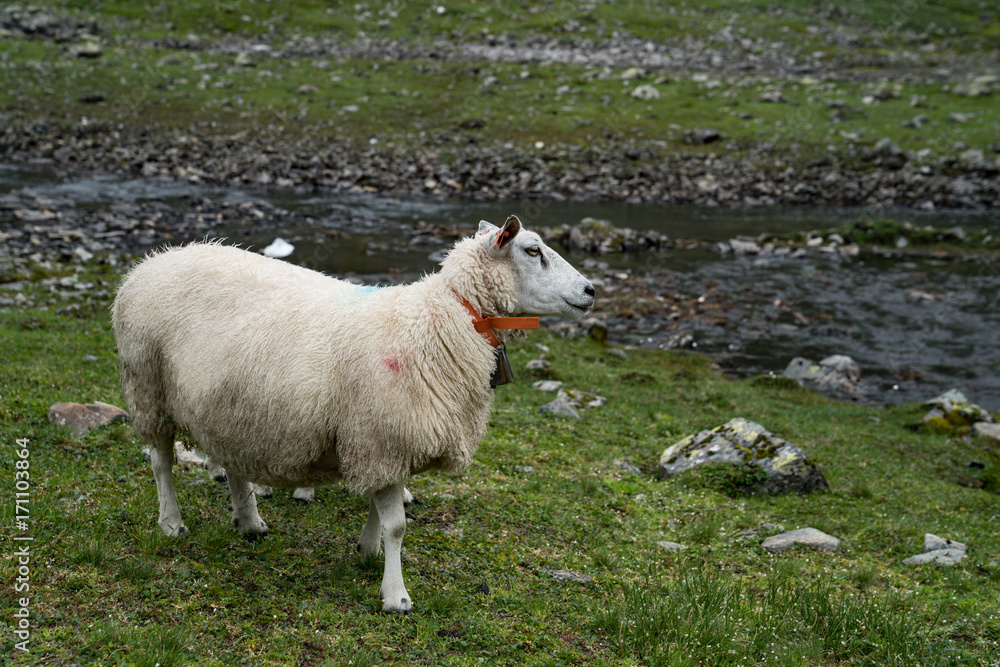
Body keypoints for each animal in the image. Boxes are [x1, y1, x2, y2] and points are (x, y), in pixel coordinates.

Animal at [111, 214, 594, 614]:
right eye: (532, 250)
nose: (591, 290)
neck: (442, 321)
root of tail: (155, 259)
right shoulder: (382, 436)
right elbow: (397, 526)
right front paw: (396, 596)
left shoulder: (385, 440)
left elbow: (381, 512)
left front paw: (368, 550)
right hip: (147, 386)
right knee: (161, 461)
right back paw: (172, 523)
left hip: (232, 404)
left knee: (231, 461)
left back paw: (248, 522)